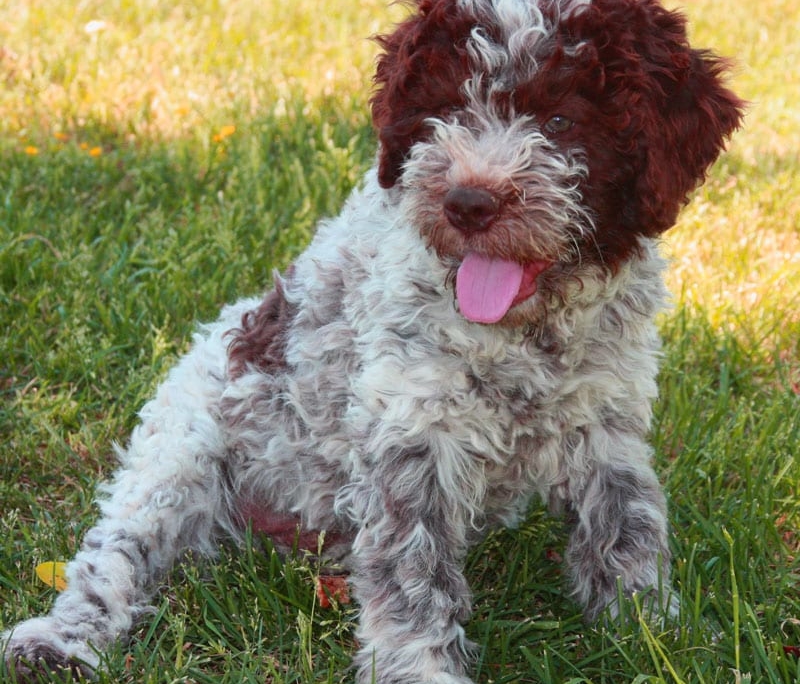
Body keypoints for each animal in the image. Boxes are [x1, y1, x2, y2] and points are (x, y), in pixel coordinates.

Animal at [1, 0, 744, 680]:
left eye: (561, 120)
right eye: (445, 110)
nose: (468, 204)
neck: (524, 332)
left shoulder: (608, 419)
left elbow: (628, 524)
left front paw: (654, 634)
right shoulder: (412, 434)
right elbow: (413, 576)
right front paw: (423, 670)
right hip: (180, 450)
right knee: (116, 551)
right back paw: (59, 639)